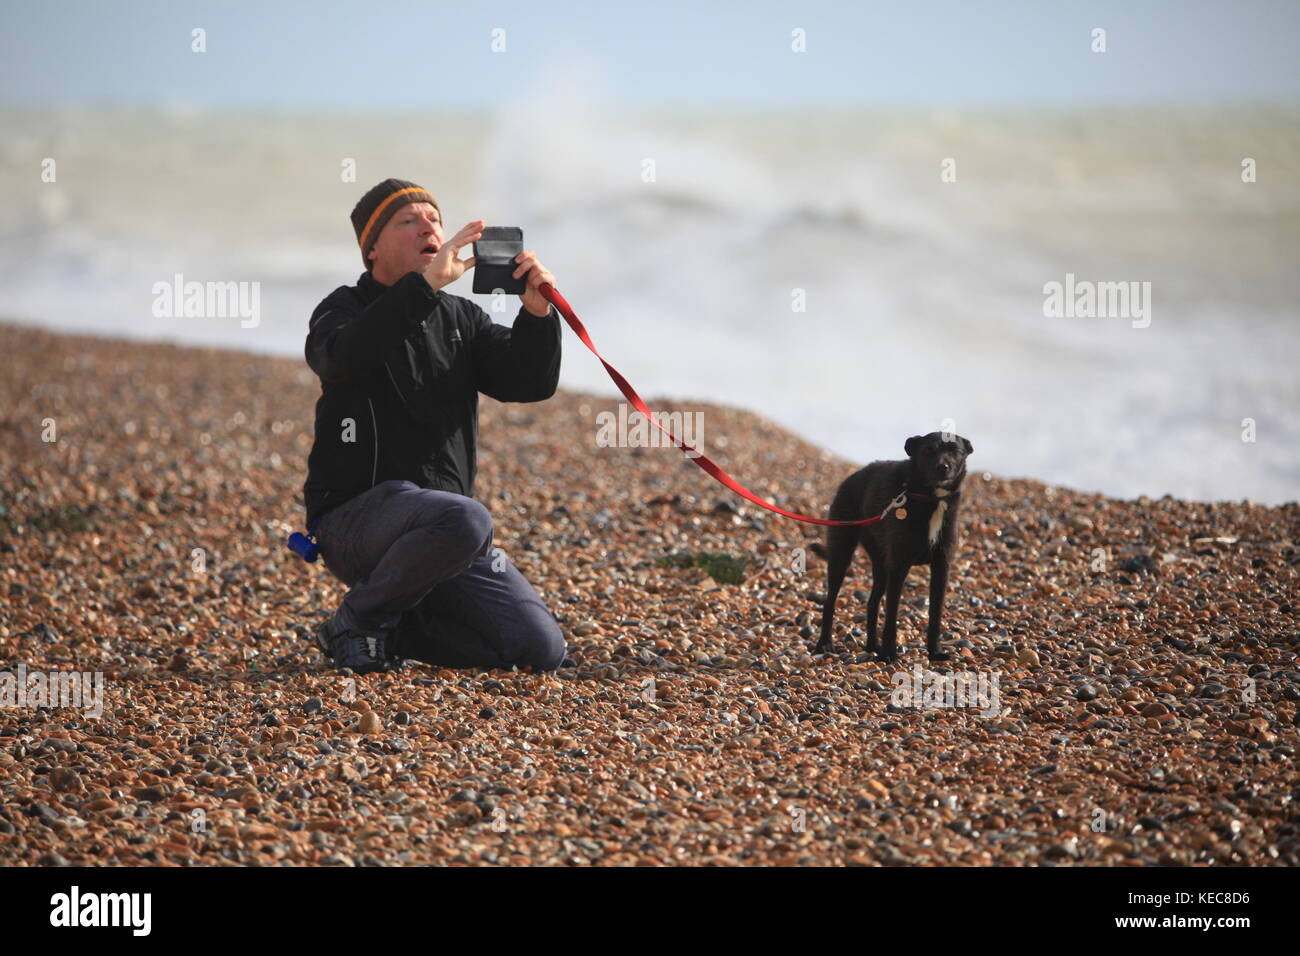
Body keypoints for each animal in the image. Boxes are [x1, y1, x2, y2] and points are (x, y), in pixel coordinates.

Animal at [816, 431, 972, 660]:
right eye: (928, 450)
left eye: (955, 451)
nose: (943, 467)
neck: (930, 498)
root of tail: (850, 478)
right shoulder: (899, 566)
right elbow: (891, 614)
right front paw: (889, 653)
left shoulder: (942, 566)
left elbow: (935, 614)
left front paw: (935, 651)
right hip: (841, 554)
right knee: (830, 602)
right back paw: (824, 644)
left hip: (881, 565)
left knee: (872, 603)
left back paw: (872, 645)